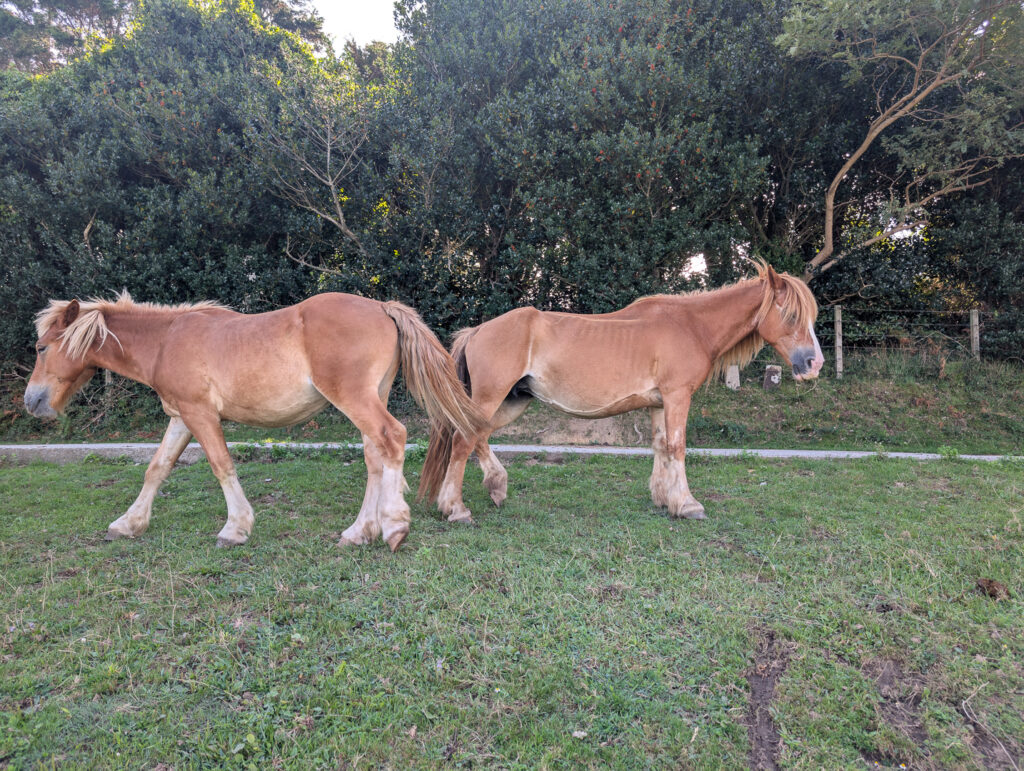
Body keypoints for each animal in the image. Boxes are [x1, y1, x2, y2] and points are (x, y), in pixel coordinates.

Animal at [24, 292, 485, 551]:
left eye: (42, 347)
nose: (32, 401)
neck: (166, 340)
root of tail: (382, 308)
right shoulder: (181, 418)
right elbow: (157, 469)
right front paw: (128, 524)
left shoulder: (200, 414)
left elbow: (221, 466)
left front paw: (236, 529)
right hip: (370, 398)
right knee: (376, 455)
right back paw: (359, 532)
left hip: (355, 400)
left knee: (392, 438)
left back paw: (393, 526)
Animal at [420, 261, 824, 523]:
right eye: (790, 316)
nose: (814, 363)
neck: (691, 326)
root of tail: (477, 330)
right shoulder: (677, 396)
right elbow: (678, 447)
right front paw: (688, 505)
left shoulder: (660, 403)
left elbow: (661, 446)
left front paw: (664, 499)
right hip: (493, 397)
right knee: (464, 440)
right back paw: (456, 509)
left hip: (512, 400)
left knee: (478, 436)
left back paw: (496, 487)